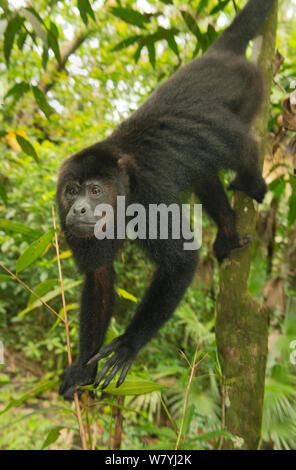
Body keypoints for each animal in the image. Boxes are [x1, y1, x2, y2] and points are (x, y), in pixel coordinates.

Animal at [57, 0, 276, 398]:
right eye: (71, 191)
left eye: (95, 191)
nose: (79, 208)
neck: (123, 189)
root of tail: (214, 55)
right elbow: (99, 276)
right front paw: (81, 368)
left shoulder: (148, 198)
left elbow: (181, 261)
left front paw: (127, 345)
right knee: (205, 173)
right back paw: (229, 232)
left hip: (250, 87)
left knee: (240, 144)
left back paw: (251, 182)